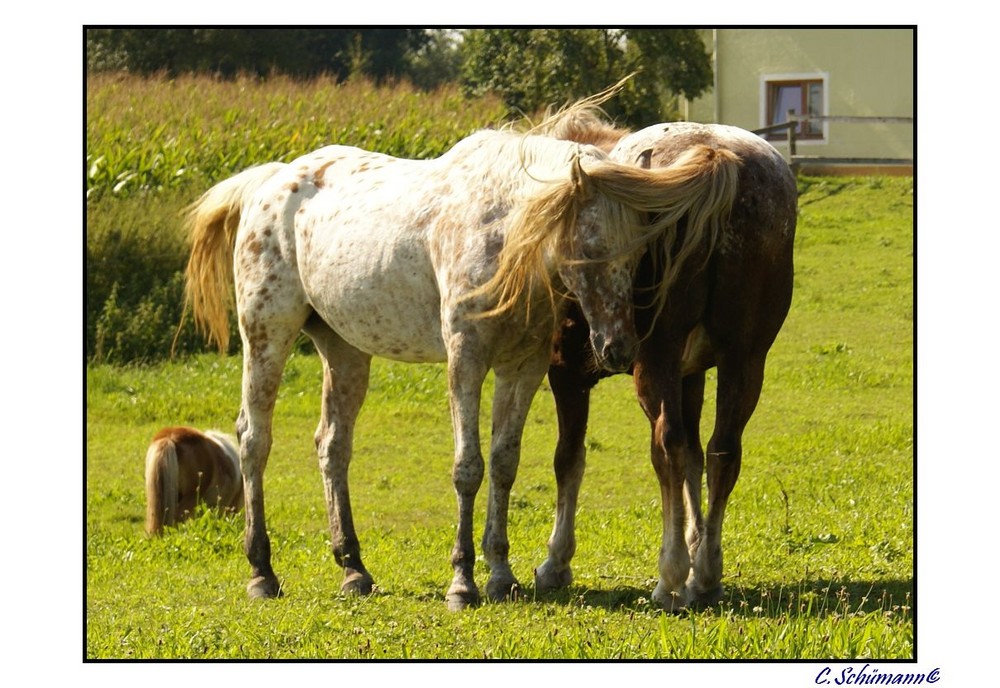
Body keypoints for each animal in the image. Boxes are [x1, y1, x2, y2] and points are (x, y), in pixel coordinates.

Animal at [184, 126, 740, 612]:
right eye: (591, 247)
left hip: (344, 350)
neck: (503, 238)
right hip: (266, 336)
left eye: (642, 253)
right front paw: (462, 582)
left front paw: (501, 575)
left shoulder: (522, 367)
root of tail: (271, 180)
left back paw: (353, 569)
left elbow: (504, 463)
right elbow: (467, 468)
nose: (619, 349)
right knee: (254, 440)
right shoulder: (466, 361)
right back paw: (262, 572)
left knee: (332, 446)